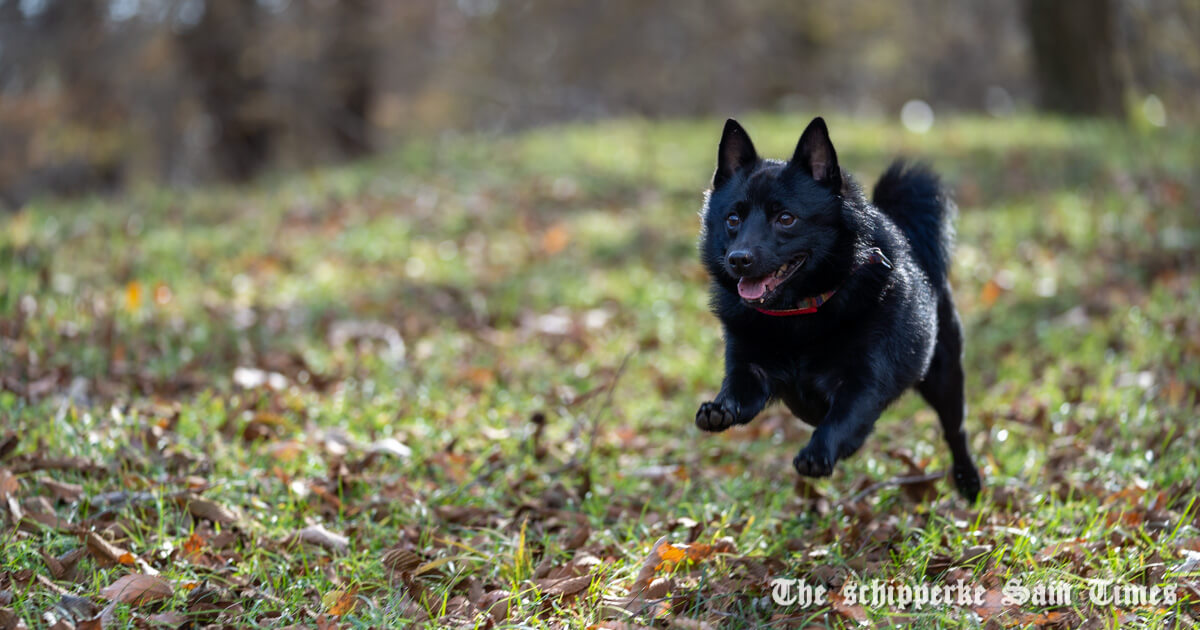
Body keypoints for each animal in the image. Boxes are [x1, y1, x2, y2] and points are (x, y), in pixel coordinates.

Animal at [700, 117, 979, 501]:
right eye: (732, 219)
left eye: (785, 218)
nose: (738, 259)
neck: (798, 316)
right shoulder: (751, 370)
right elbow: (738, 392)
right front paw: (719, 409)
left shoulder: (863, 382)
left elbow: (842, 418)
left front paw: (819, 453)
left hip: (944, 376)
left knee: (957, 430)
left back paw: (969, 480)